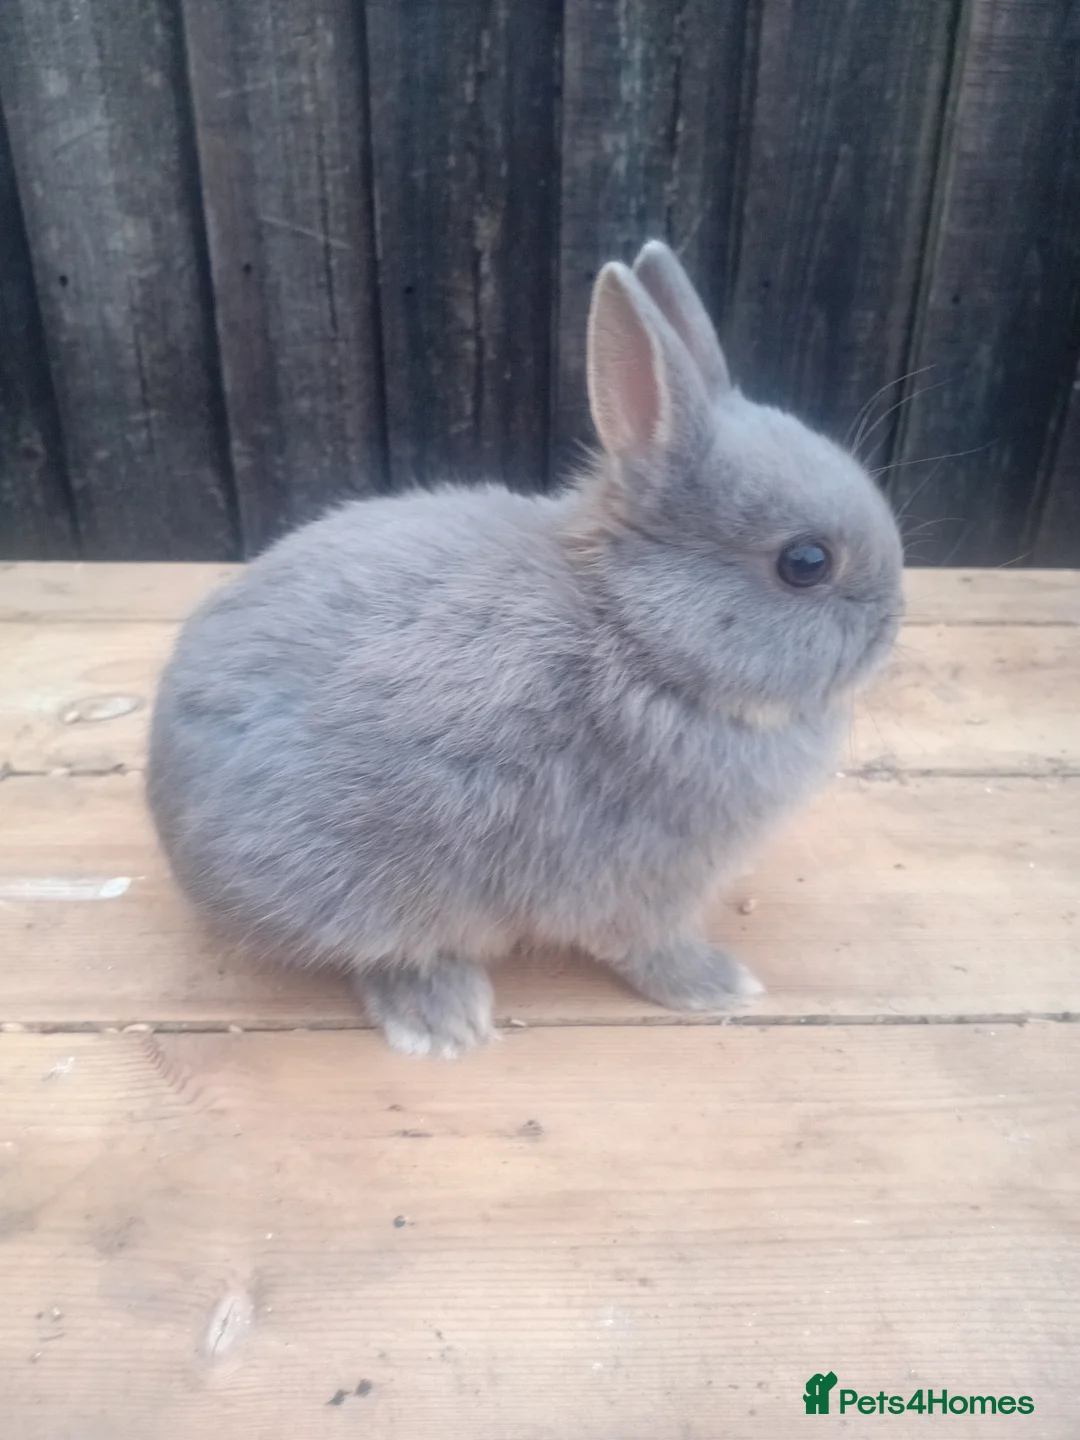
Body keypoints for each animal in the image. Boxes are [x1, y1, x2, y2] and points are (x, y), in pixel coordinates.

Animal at [147, 240, 904, 1057]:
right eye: (806, 563)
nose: (895, 622)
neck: (638, 636)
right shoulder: (642, 884)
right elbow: (651, 949)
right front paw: (716, 985)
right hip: (361, 890)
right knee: (380, 955)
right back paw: (444, 1019)